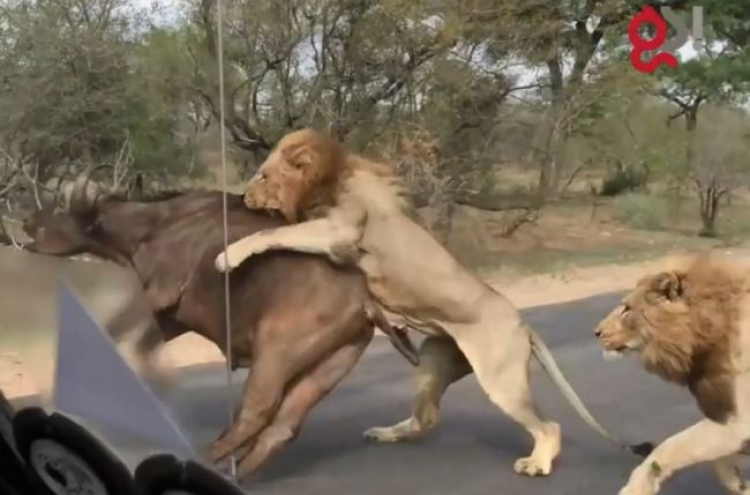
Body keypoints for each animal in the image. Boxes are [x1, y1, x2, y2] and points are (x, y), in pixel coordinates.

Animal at [213, 128, 652, 476]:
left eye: (263, 175)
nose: (244, 196)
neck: (331, 180)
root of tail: (522, 323)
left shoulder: (339, 232)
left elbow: (273, 234)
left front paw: (228, 255)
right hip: (432, 362)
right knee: (426, 418)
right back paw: (384, 433)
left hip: (502, 380)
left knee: (548, 425)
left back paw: (537, 463)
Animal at [596, 256, 750, 495]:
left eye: (627, 310)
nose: (596, 332)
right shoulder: (726, 415)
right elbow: (719, 462)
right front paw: (739, 484)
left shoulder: (740, 421)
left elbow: (667, 449)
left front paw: (635, 488)